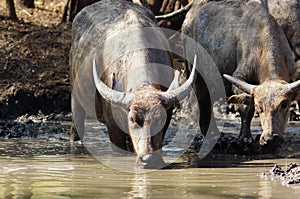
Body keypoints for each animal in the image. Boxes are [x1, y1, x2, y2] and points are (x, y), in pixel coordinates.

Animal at [182, 0, 300, 148]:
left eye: (284, 104)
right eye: (259, 107)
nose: (270, 139)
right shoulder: (239, 78)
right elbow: (246, 108)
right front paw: (245, 138)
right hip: (196, 74)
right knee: (201, 101)